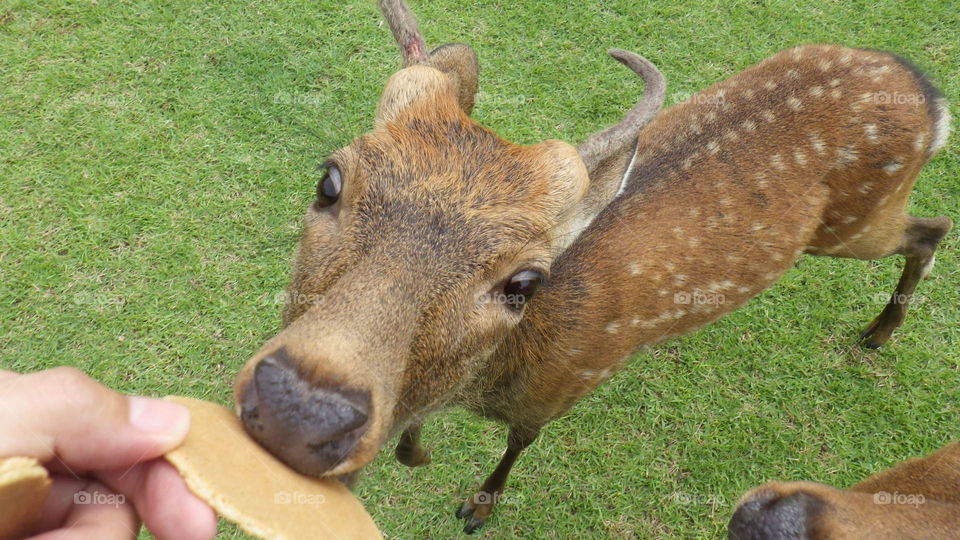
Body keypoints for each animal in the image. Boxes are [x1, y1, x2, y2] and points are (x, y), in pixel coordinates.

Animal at [231, 0, 952, 532]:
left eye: (525, 282)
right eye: (329, 181)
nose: (301, 410)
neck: (488, 383)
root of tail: (928, 92)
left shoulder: (568, 385)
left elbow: (519, 444)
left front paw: (477, 504)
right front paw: (418, 451)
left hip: (857, 220)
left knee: (933, 228)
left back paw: (879, 331)